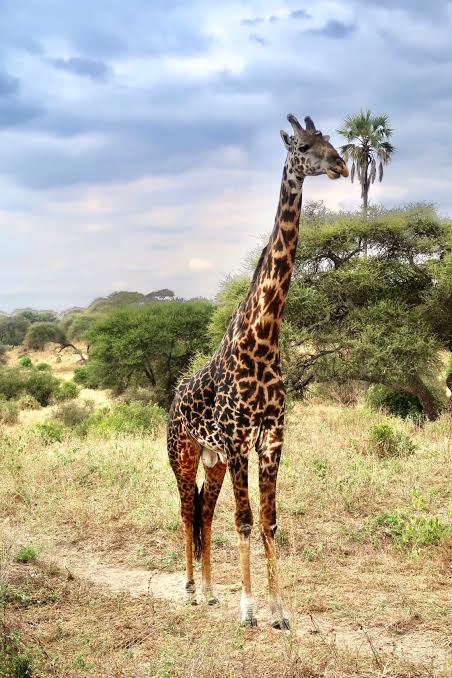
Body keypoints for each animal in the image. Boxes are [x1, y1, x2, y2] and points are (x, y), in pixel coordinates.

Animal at [167, 113, 348, 628]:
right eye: (304, 146)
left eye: (332, 142)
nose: (342, 165)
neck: (263, 339)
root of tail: (172, 399)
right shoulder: (236, 438)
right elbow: (245, 521)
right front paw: (248, 611)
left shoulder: (271, 436)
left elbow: (268, 520)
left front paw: (279, 610)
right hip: (184, 453)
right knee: (186, 512)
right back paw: (191, 591)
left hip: (213, 459)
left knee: (205, 513)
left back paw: (211, 592)